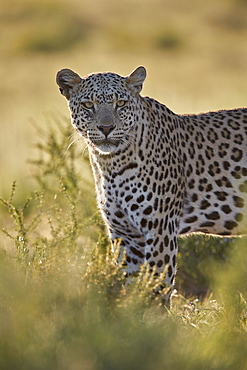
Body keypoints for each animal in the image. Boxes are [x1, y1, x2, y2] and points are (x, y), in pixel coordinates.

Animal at [56, 66, 247, 304]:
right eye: (89, 105)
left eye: (121, 103)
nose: (106, 128)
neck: (110, 163)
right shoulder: (126, 236)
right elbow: (131, 287)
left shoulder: (160, 229)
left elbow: (156, 289)